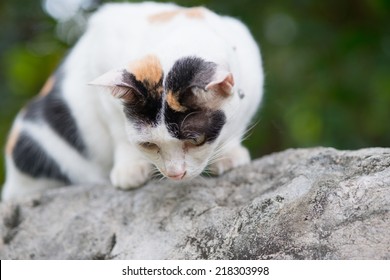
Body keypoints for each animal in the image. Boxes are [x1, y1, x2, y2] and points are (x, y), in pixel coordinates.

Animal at [1, 1, 264, 200]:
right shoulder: (102, 54)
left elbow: (238, 123)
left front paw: (230, 154)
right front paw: (130, 168)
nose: (174, 174)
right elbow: (118, 128)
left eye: (196, 140)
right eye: (148, 144)